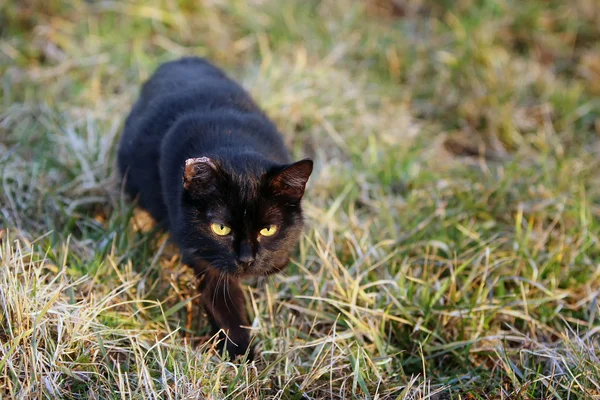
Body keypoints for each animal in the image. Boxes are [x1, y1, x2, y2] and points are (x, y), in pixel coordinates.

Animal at [118, 57, 314, 360]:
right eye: (221, 228)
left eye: (268, 230)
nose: (246, 260)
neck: (231, 140)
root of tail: (178, 60)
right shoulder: (203, 255)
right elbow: (223, 305)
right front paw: (242, 356)